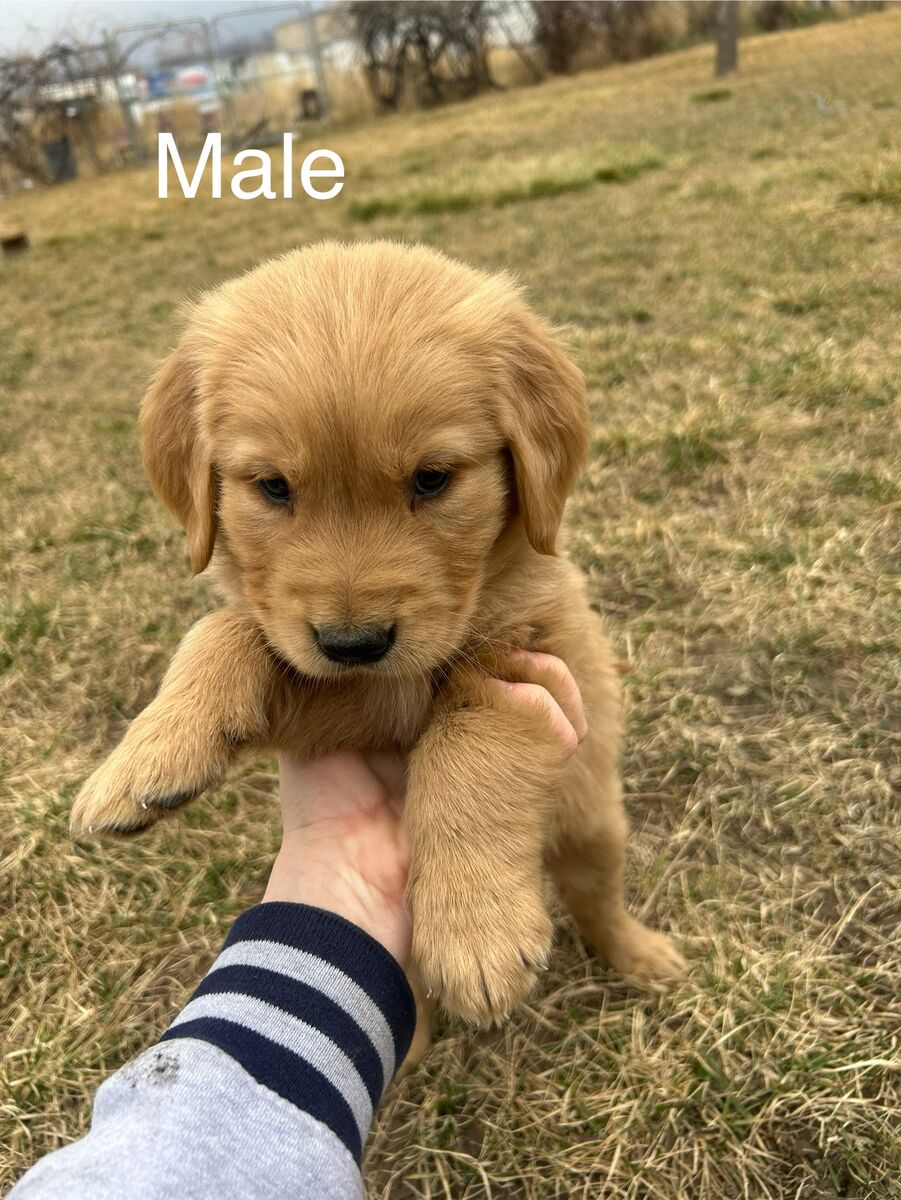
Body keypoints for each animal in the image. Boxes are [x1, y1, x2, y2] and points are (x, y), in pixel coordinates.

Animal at [71, 241, 685, 1053]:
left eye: (432, 479)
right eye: (272, 487)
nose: (353, 643)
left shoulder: (535, 658)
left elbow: (470, 739)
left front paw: (476, 929)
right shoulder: (336, 697)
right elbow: (224, 628)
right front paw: (147, 755)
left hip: (593, 823)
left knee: (597, 900)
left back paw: (642, 955)